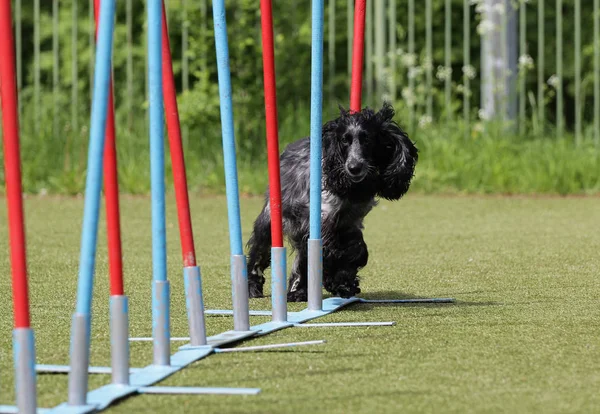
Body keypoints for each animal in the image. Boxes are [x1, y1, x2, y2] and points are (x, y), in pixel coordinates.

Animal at [244, 103, 418, 302]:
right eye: (344, 140)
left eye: (367, 139)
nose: (354, 167)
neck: (352, 189)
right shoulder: (322, 220)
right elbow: (331, 251)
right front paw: (338, 281)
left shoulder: (350, 222)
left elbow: (356, 249)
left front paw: (344, 281)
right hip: (270, 220)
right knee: (259, 252)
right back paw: (252, 287)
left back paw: (298, 291)